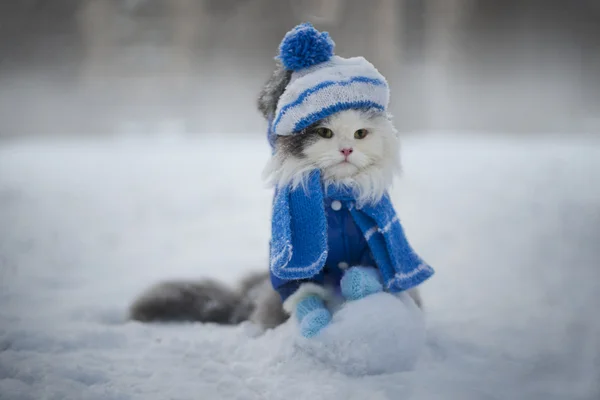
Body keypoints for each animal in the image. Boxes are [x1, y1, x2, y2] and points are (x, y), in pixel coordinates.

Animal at [129, 62, 424, 330]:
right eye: (325, 132)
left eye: (360, 134)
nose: (347, 150)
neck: (337, 195)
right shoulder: (290, 266)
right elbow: (303, 295)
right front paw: (314, 319)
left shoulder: (372, 251)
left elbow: (368, 276)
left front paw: (357, 285)